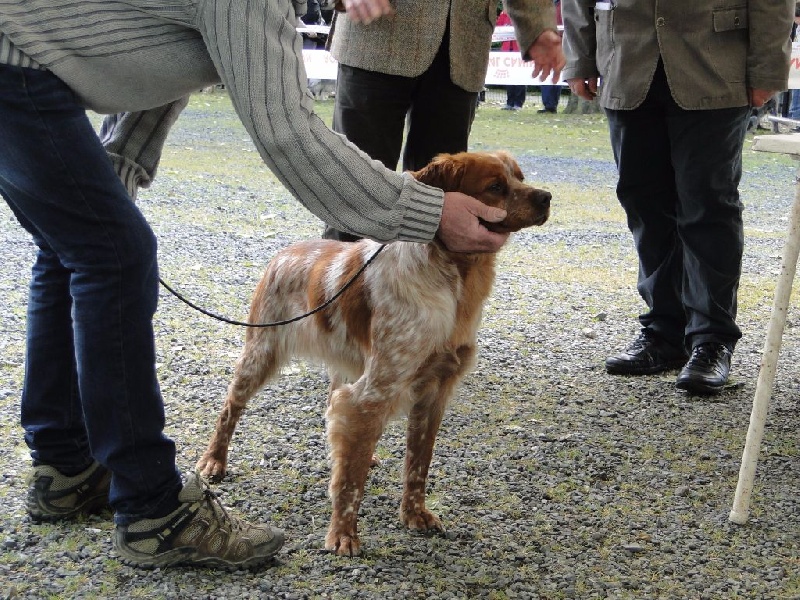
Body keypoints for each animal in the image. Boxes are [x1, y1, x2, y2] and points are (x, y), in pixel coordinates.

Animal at [198, 152, 552, 556]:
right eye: (495, 186)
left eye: (520, 177)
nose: (546, 198)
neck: (454, 280)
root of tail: (285, 253)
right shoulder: (374, 391)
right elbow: (350, 483)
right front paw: (343, 533)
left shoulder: (434, 392)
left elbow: (418, 463)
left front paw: (415, 514)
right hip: (261, 353)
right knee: (231, 407)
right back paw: (213, 461)